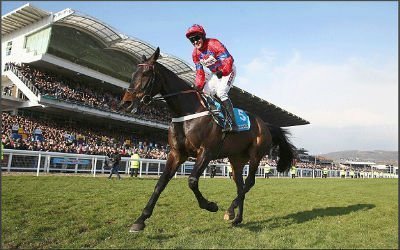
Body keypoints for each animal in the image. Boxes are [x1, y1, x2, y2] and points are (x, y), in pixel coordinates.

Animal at [117, 47, 296, 232]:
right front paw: (140, 220)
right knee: (239, 184)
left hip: (255, 155)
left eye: (146, 74)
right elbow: (161, 183)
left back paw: (230, 210)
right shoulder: (176, 153)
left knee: (249, 182)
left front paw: (210, 205)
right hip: (236, 159)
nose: (126, 103)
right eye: (133, 73)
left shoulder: (206, 152)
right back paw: (237, 218)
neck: (187, 111)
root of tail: (265, 124)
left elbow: (192, 181)